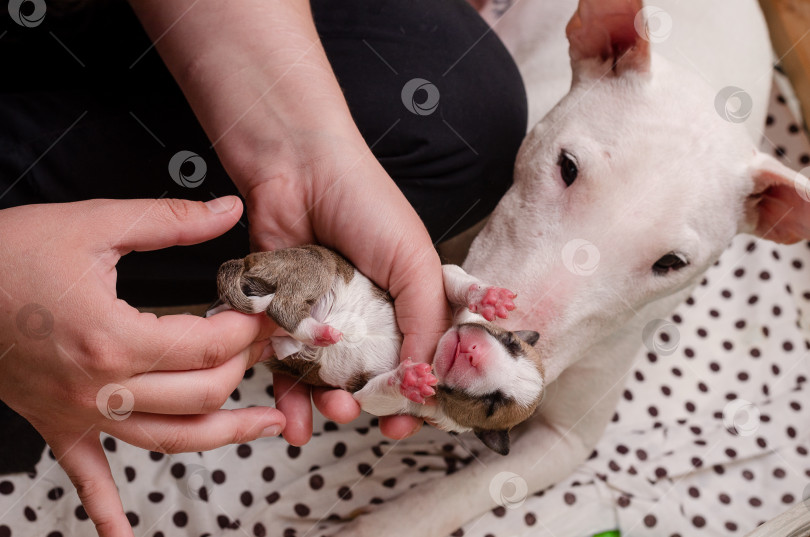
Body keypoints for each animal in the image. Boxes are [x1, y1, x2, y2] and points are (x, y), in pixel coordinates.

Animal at [210, 246, 544, 452]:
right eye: (510, 341)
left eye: (492, 404)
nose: (473, 353)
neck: (434, 351)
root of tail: (249, 261)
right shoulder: (439, 287)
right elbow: (453, 275)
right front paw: (489, 298)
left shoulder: (406, 408)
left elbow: (375, 395)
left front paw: (409, 379)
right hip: (315, 266)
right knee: (285, 303)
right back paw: (318, 329)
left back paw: (312, 334)